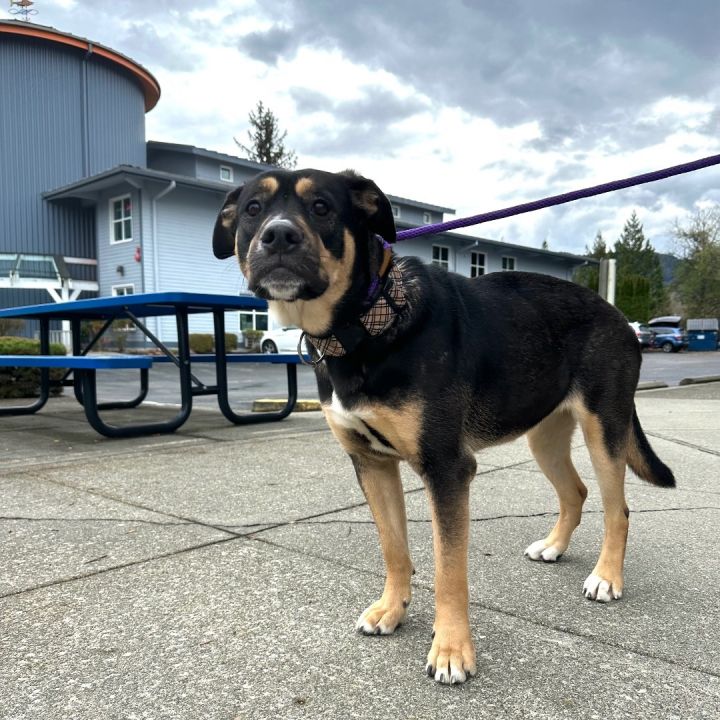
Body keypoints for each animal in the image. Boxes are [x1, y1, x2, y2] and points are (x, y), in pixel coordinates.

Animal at [212, 169, 676, 688]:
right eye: (253, 209)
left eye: (322, 207)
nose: (278, 236)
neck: (370, 321)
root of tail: (622, 319)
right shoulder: (371, 463)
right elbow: (393, 547)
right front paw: (392, 610)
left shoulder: (447, 469)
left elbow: (448, 569)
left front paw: (451, 649)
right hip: (544, 433)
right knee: (575, 491)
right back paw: (554, 546)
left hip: (604, 426)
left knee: (619, 510)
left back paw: (607, 577)